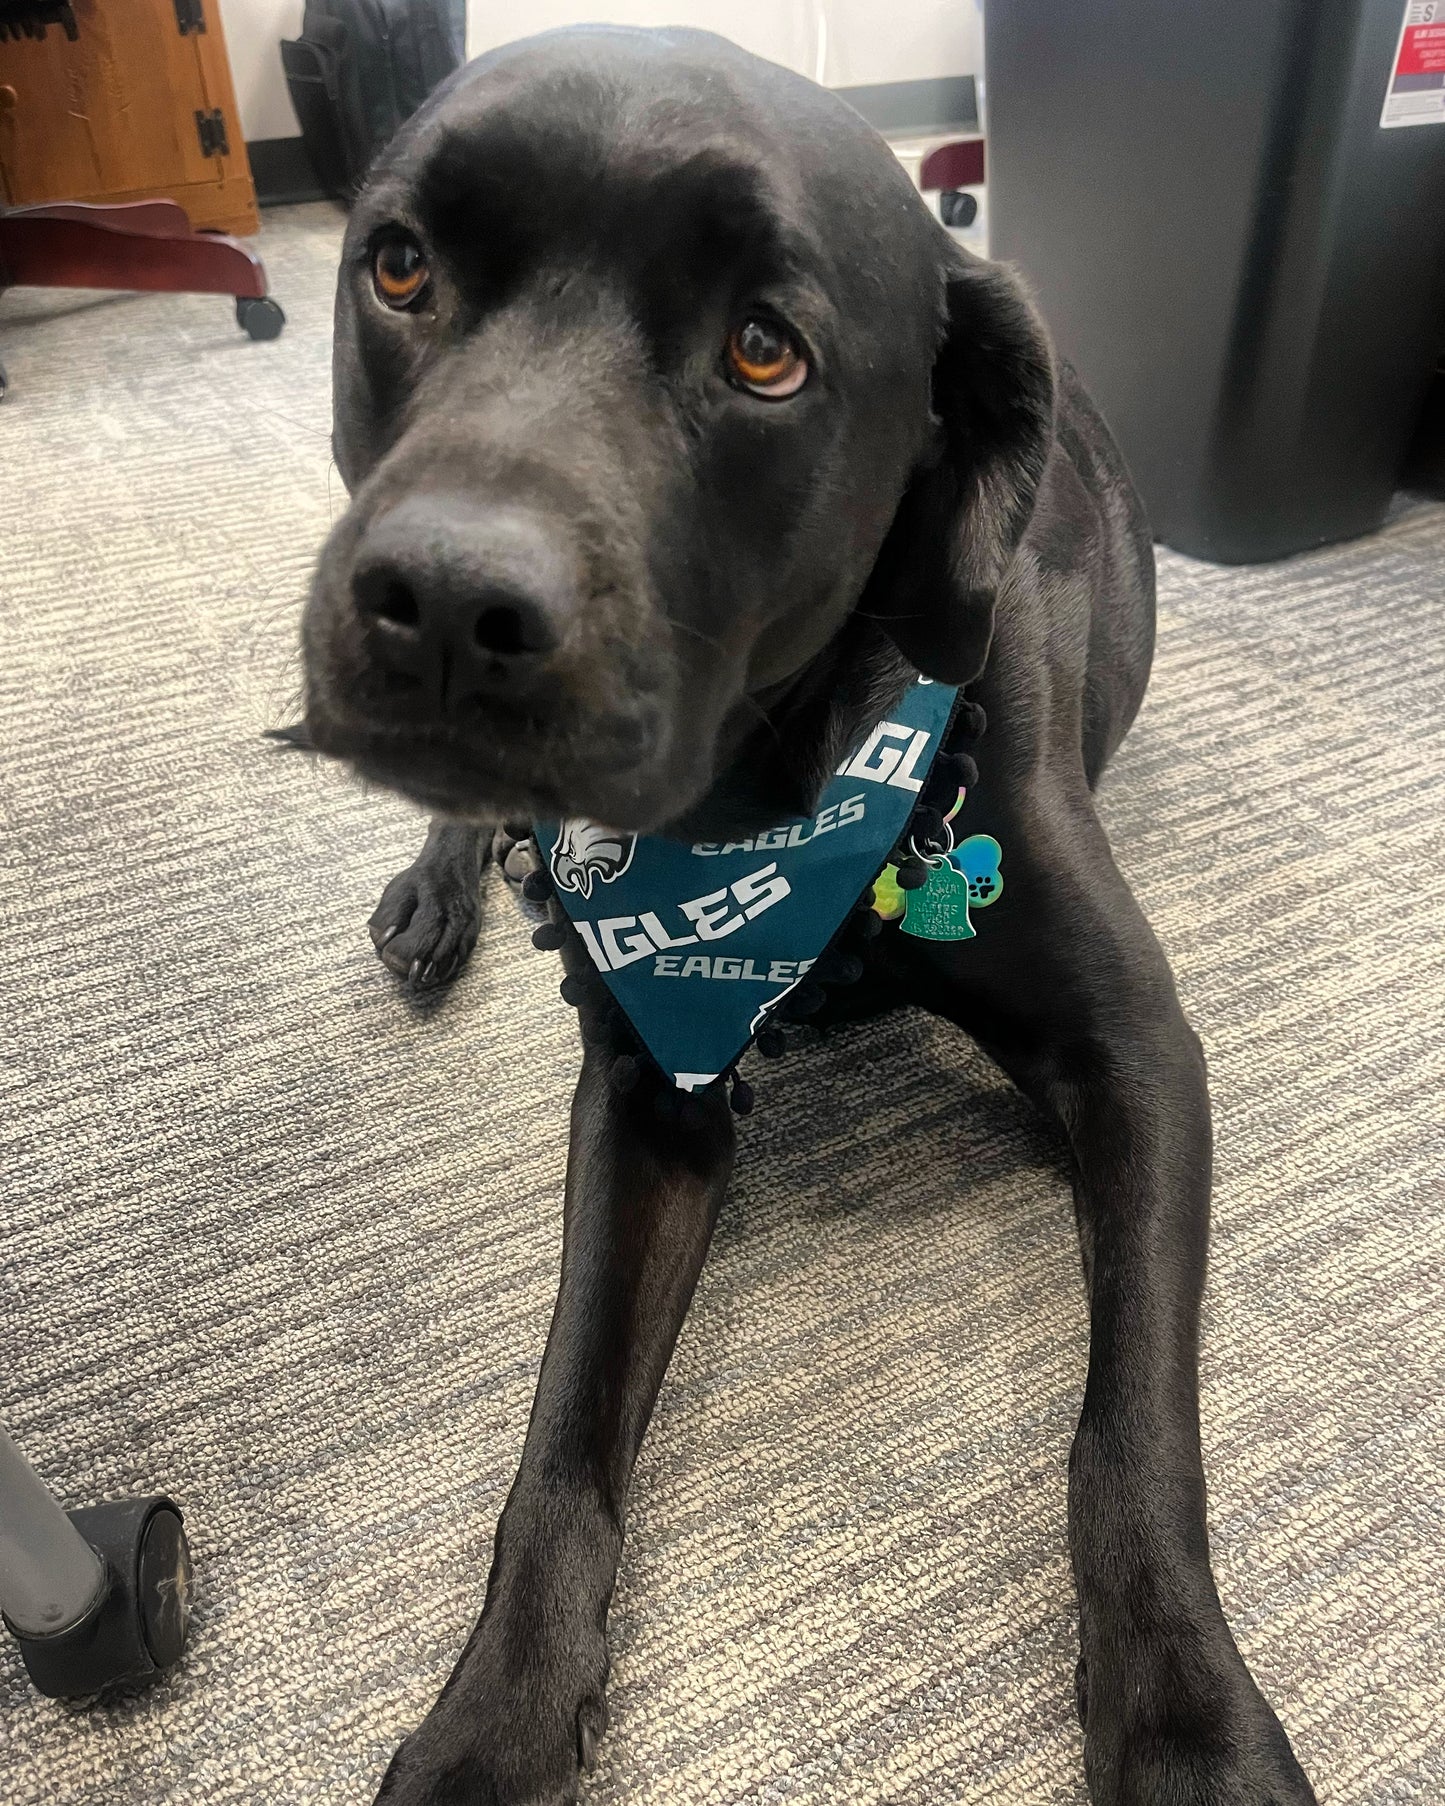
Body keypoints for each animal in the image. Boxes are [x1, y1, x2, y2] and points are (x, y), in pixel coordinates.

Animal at [301, 28, 1322, 1806]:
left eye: (765, 351)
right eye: (403, 265)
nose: (437, 603)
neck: (759, 813)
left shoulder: (1138, 1057)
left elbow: (1131, 1421)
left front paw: (1190, 1720)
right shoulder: (648, 1083)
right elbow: (560, 1435)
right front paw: (491, 1727)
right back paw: (447, 883)